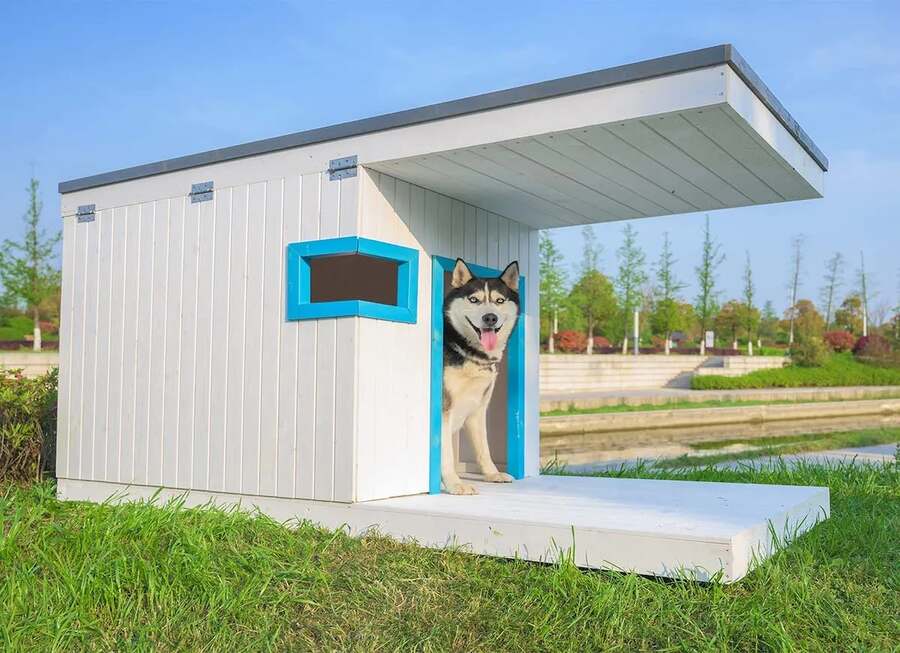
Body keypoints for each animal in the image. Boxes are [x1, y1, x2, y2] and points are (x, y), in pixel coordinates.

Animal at [442, 260, 520, 494]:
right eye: (474, 299)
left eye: (499, 300)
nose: (490, 318)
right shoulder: (443, 409)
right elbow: (446, 454)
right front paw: (454, 483)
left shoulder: (478, 408)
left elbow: (483, 448)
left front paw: (492, 474)